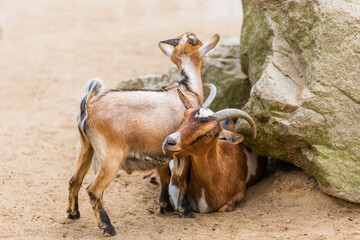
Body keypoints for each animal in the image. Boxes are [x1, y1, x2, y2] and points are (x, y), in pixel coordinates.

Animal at [66, 32, 221, 236]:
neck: (188, 88)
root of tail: (88, 109)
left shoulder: (162, 151)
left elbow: (165, 177)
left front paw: (165, 207)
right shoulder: (184, 151)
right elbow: (182, 180)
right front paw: (185, 211)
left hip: (85, 147)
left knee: (74, 180)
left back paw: (73, 214)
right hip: (111, 157)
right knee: (94, 189)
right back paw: (108, 227)